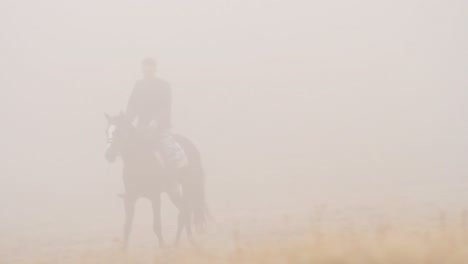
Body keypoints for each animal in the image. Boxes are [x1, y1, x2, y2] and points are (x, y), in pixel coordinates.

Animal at [105, 112, 209, 250]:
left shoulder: (155, 197)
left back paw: (181, 244)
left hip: (185, 187)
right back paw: (182, 243)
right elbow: (127, 226)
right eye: (106, 131)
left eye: (119, 132)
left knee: (184, 211)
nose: (108, 155)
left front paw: (163, 248)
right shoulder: (130, 199)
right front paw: (123, 251)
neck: (139, 163)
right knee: (184, 210)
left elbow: (157, 226)